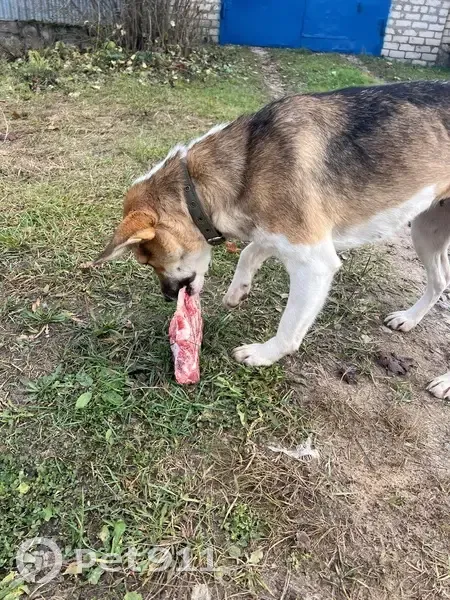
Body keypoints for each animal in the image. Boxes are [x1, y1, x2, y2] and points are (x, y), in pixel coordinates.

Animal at [93, 81, 450, 398]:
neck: (248, 165)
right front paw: (237, 291)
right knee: (440, 281)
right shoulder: (275, 233)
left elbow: (289, 327)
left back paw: (444, 383)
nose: (168, 297)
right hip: (425, 230)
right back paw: (409, 319)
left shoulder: (314, 263)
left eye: (147, 258)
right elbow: (249, 251)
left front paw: (263, 354)